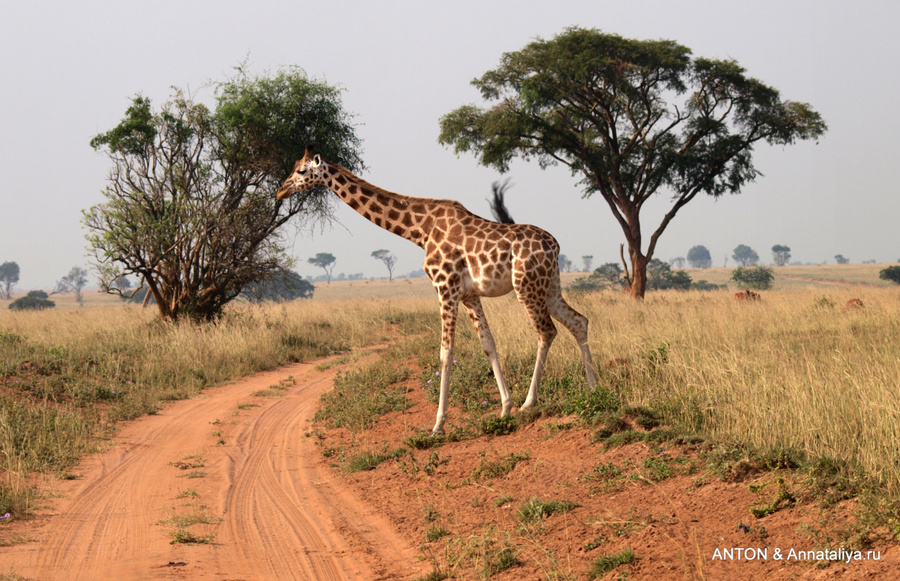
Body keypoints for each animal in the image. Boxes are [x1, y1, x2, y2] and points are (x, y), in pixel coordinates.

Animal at [274, 147, 596, 432]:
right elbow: (488, 344)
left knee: (547, 331)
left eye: (300, 171)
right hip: (549, 286)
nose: (280, 191)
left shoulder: (445, 287)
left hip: (526, 286)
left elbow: (445, 352)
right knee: (579, 321)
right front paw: (504, 408)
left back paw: (530, 403)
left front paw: (438, 424)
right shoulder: (469, 295)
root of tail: (555, 245)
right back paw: (595, 390)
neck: (420, 230)